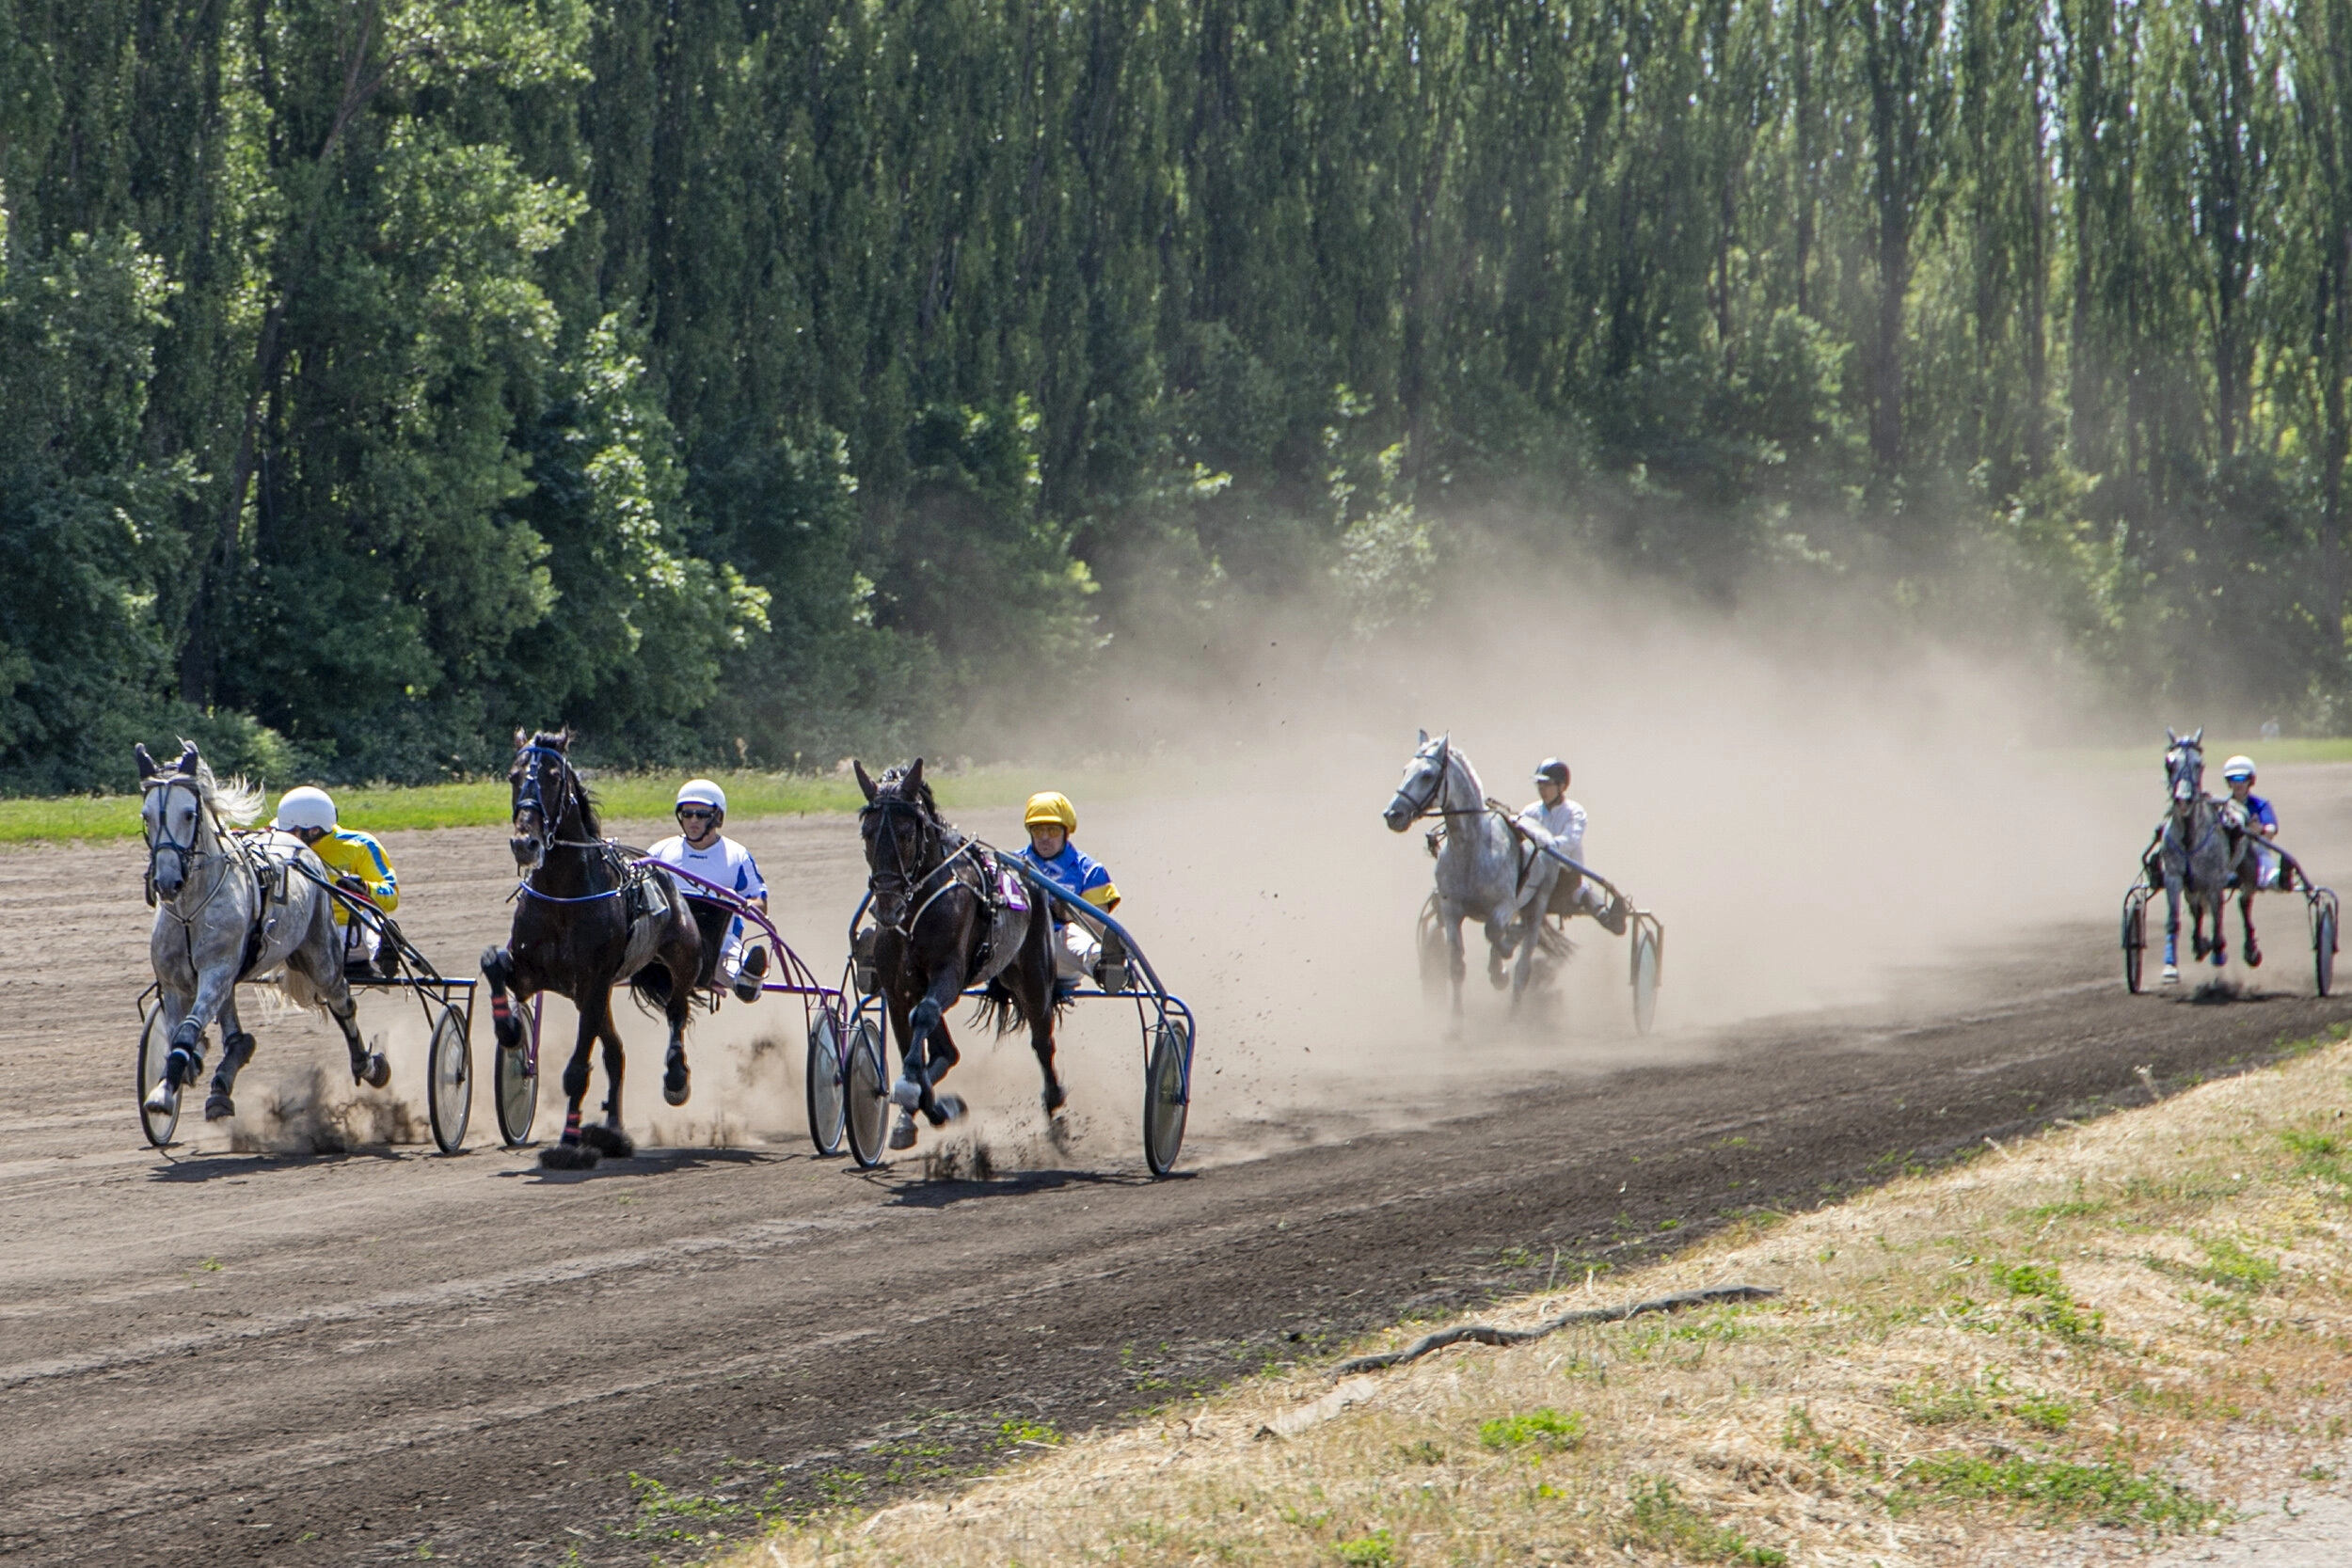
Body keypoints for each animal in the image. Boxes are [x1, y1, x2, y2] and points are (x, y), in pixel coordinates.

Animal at [136, 742, 381, 1123]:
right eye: (146, 815)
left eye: (189, 814)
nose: (167, 881)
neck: (191, 913)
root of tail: (297, 846)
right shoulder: (176, 984)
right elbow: (181, 1033)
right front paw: (177, 1077)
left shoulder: (217, 970)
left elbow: (188, 1031)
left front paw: (164, 1093)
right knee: (234, 1032)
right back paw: (224, 1078)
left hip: (321, 954)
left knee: (342, 999)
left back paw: (367, 1065)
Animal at [477, 733, 696, 1165]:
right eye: (513, 775)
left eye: (553, 776)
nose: (525, 843)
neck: (565, 894)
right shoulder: (531, 973)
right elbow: (493, 961)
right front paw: (511, 1031)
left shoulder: (594, 981)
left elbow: (577, 1071)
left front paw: (568, 1143)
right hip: (592, 997)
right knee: (616, 1054)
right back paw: (613, 1133)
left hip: (680, 958)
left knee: (676, 1012)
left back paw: (676, 1078)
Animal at [856, 761, 1068, 1151]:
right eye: (867, 833)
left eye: (907, 834)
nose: (888, 907)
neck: (915, 913)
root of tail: (1028, 871)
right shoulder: (899, 990)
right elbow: (912, 1039)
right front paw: (932, 1108)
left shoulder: (949, 975)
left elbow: (924, 1016)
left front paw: (916, 1094)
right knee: (948, 1051)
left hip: (1034, 974)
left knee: (1042, 1040)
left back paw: (1054, 1099)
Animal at [1374, 737, 1543, 1029]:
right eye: (1405, 770)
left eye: (1427, 774)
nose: (1393, 814)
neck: (1471, 850)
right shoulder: (1451, 910)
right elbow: (1456, 966)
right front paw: (1455, 1025)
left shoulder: (1504, 905)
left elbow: (1494, 931)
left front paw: (1500, 969)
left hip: (1537, 904)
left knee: (1523, 967)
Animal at [2154, 728, 2239, 982]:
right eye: (2169, 763)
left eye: (2199, 764)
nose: (2184, 800)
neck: (2189, 837)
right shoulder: (2174, 877)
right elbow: (2173, 921)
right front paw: (2170, 967)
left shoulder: (2214, 881)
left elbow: (2218, 920)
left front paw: (2218, 955)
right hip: (2192, 887)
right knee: (2197, 910)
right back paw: (2199, 944)